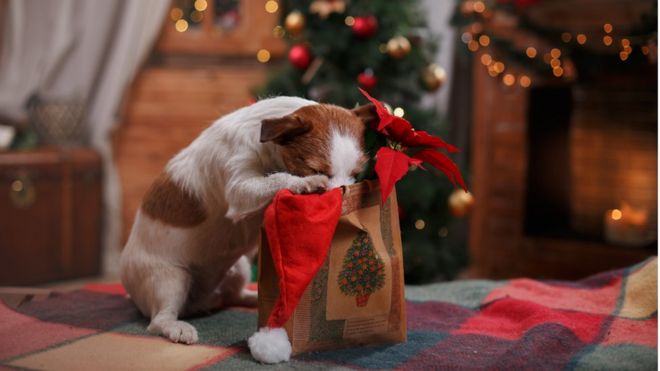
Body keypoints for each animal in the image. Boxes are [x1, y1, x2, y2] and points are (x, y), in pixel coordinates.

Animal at [119, 96, 376, 346]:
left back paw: (254, 298)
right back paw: (177, 327)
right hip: (170, 278)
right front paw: (306, 183)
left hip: (238, 267)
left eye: (357, 173)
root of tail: (200, 302)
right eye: (315, 168)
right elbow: (276, 179)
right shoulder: (239, 189)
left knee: (234, 295)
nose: (345, 205)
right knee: (159, 320)